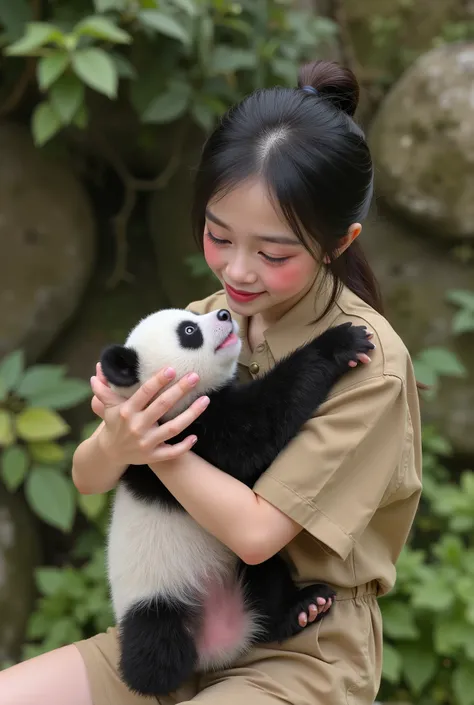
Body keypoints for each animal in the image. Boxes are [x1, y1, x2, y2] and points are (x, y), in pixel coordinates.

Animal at [100, 306, 374, 697]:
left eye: (192, 314)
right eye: (189, 331)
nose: (224, 313)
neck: (160, 405)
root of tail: (219, 645)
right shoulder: (186, 434)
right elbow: (256, 430)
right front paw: (342, 341)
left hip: (242, 562)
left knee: (267, 581)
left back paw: (302, 608)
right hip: (153, 599)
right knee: (155, 650)